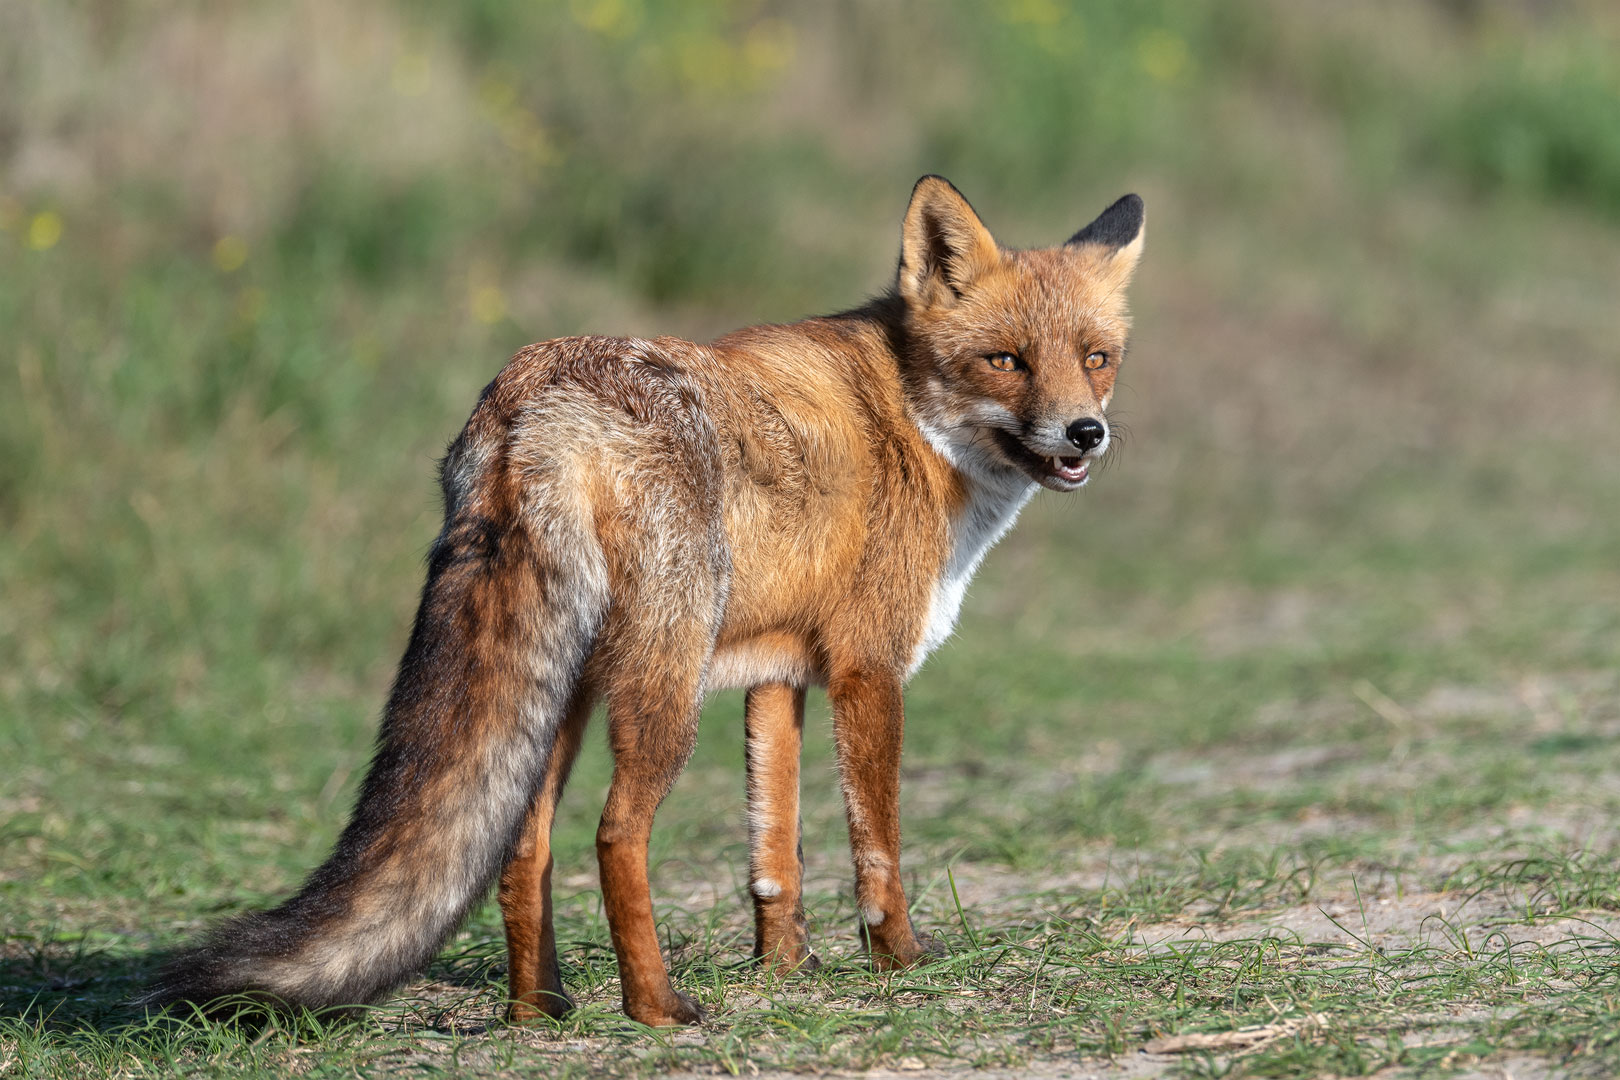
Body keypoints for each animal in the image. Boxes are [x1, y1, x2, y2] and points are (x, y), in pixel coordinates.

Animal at [149, 177, 1140, 1029]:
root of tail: (531, 396)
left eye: (1097, 359)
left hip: (568, 694)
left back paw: (538, 1011)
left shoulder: (778, 674)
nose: (1085, 432)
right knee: (616, 834)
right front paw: (898, 961)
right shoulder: (868, 670)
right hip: (663, 689)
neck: (911, 417)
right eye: (1005, 361)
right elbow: (878, 848)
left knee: (524, 845)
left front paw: (787, 969)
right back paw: (654, 1008)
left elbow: (776, 852)